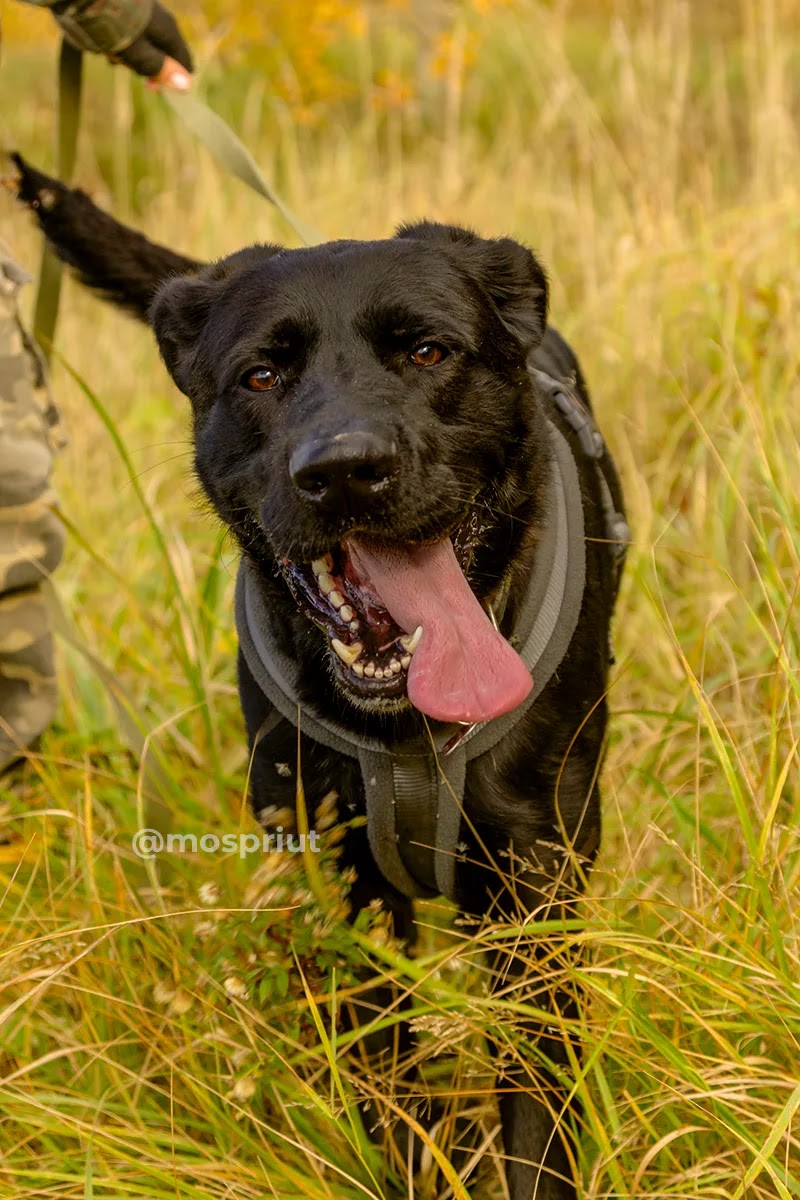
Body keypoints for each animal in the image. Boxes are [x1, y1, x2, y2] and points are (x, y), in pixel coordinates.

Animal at [14, 154, 623, 1195]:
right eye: (261, 374)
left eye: (427, 353)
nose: (343, 470)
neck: (404, 731)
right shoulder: (346, 890)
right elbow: (394, 1096)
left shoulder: (533, 892)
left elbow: (535, 1114)